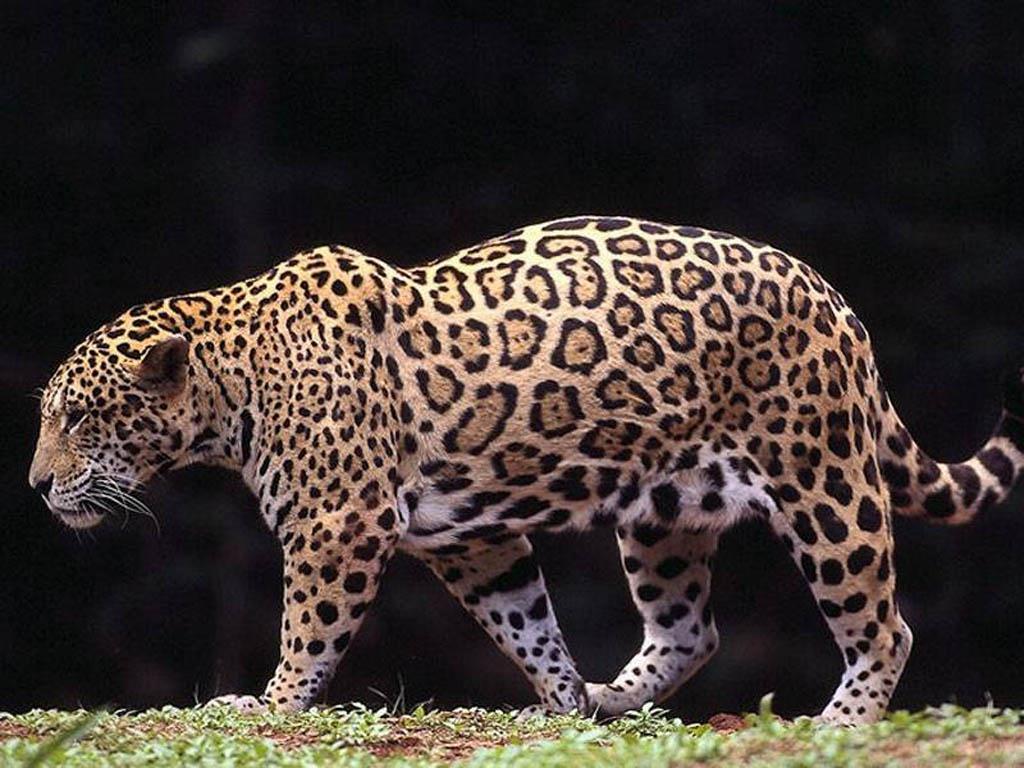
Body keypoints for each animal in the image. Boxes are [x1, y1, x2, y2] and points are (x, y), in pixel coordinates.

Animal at [29, 215, 1024, 725]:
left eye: (78, 417)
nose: (36, 485)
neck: (231, 384)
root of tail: (835, 297)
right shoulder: (472, 542)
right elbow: (526, 623)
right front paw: (560, 701)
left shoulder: (338, 525)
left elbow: (308, 630)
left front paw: (269, 707)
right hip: (664, 513)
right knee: (689, 630)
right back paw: (613, 695)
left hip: (825, 481)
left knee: (885, 625)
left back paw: (840, 723)